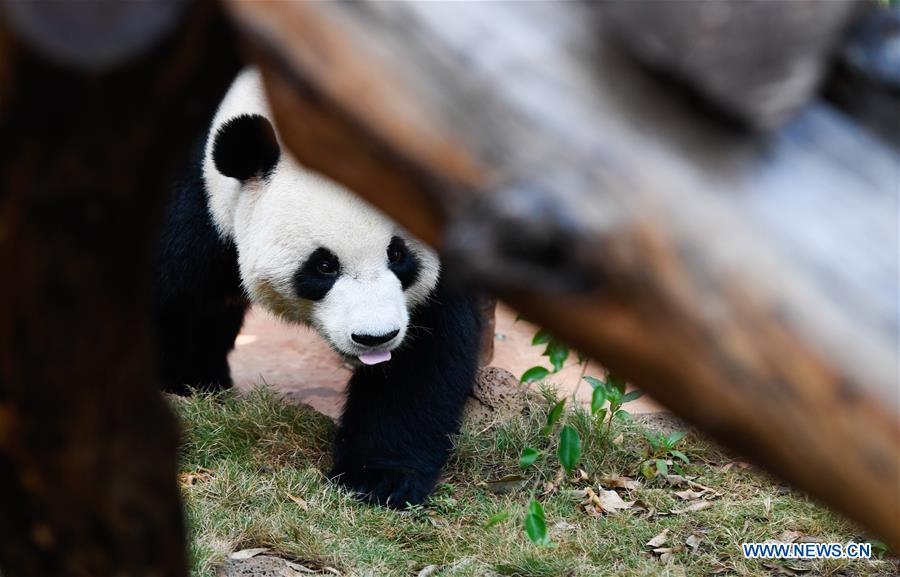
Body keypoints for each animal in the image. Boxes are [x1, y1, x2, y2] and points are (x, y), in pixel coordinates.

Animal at [154, 68, 482, 507]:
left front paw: (378, 478)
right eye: (324, 265)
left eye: (398, 254)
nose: (375, 337)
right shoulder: (198, 209)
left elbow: (427, 354)